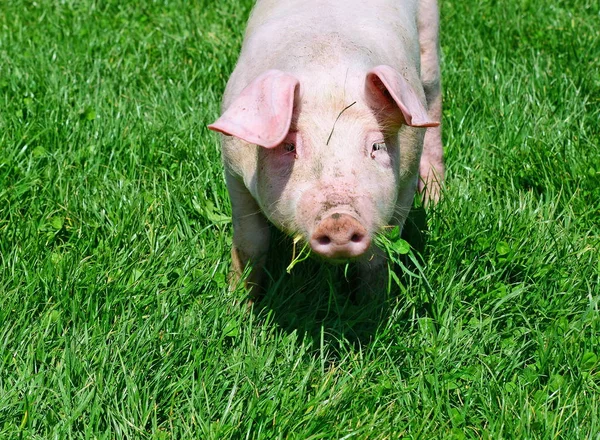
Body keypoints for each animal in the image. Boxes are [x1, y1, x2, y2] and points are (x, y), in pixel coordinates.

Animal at [209, 0, 442, 296]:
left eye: (376, 146)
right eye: (289, 146)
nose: (339, 219)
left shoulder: (407, 175)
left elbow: (380, 254)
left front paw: (371, 301)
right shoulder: (234, 171)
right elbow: (251, 243)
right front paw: (239, 300)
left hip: (429, 34)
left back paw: (438, 199)